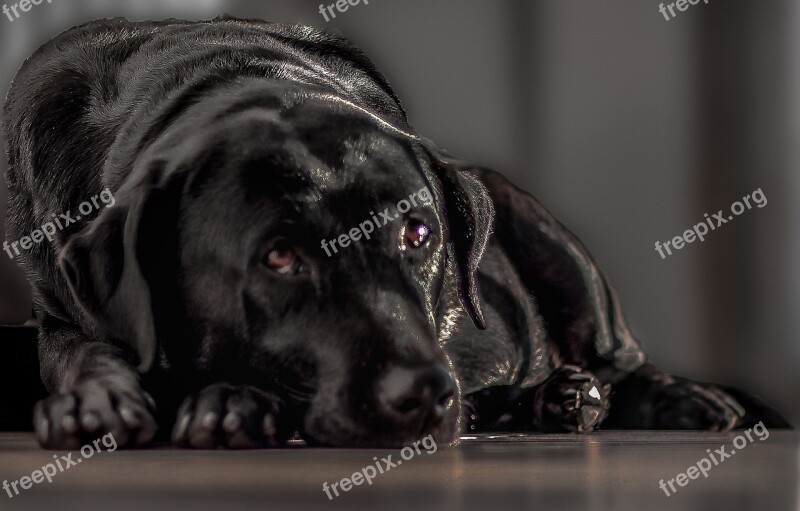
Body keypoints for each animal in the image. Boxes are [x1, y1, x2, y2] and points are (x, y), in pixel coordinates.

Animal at [1, 17, 788, 448]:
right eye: (278, 256)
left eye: (418, 234)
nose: (426, 394)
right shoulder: (59, 302)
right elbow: (86, 350)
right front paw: (101, 400)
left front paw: (227, 402)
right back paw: (547, 400)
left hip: (554, 245)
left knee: (618, 359)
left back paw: (663, 398)